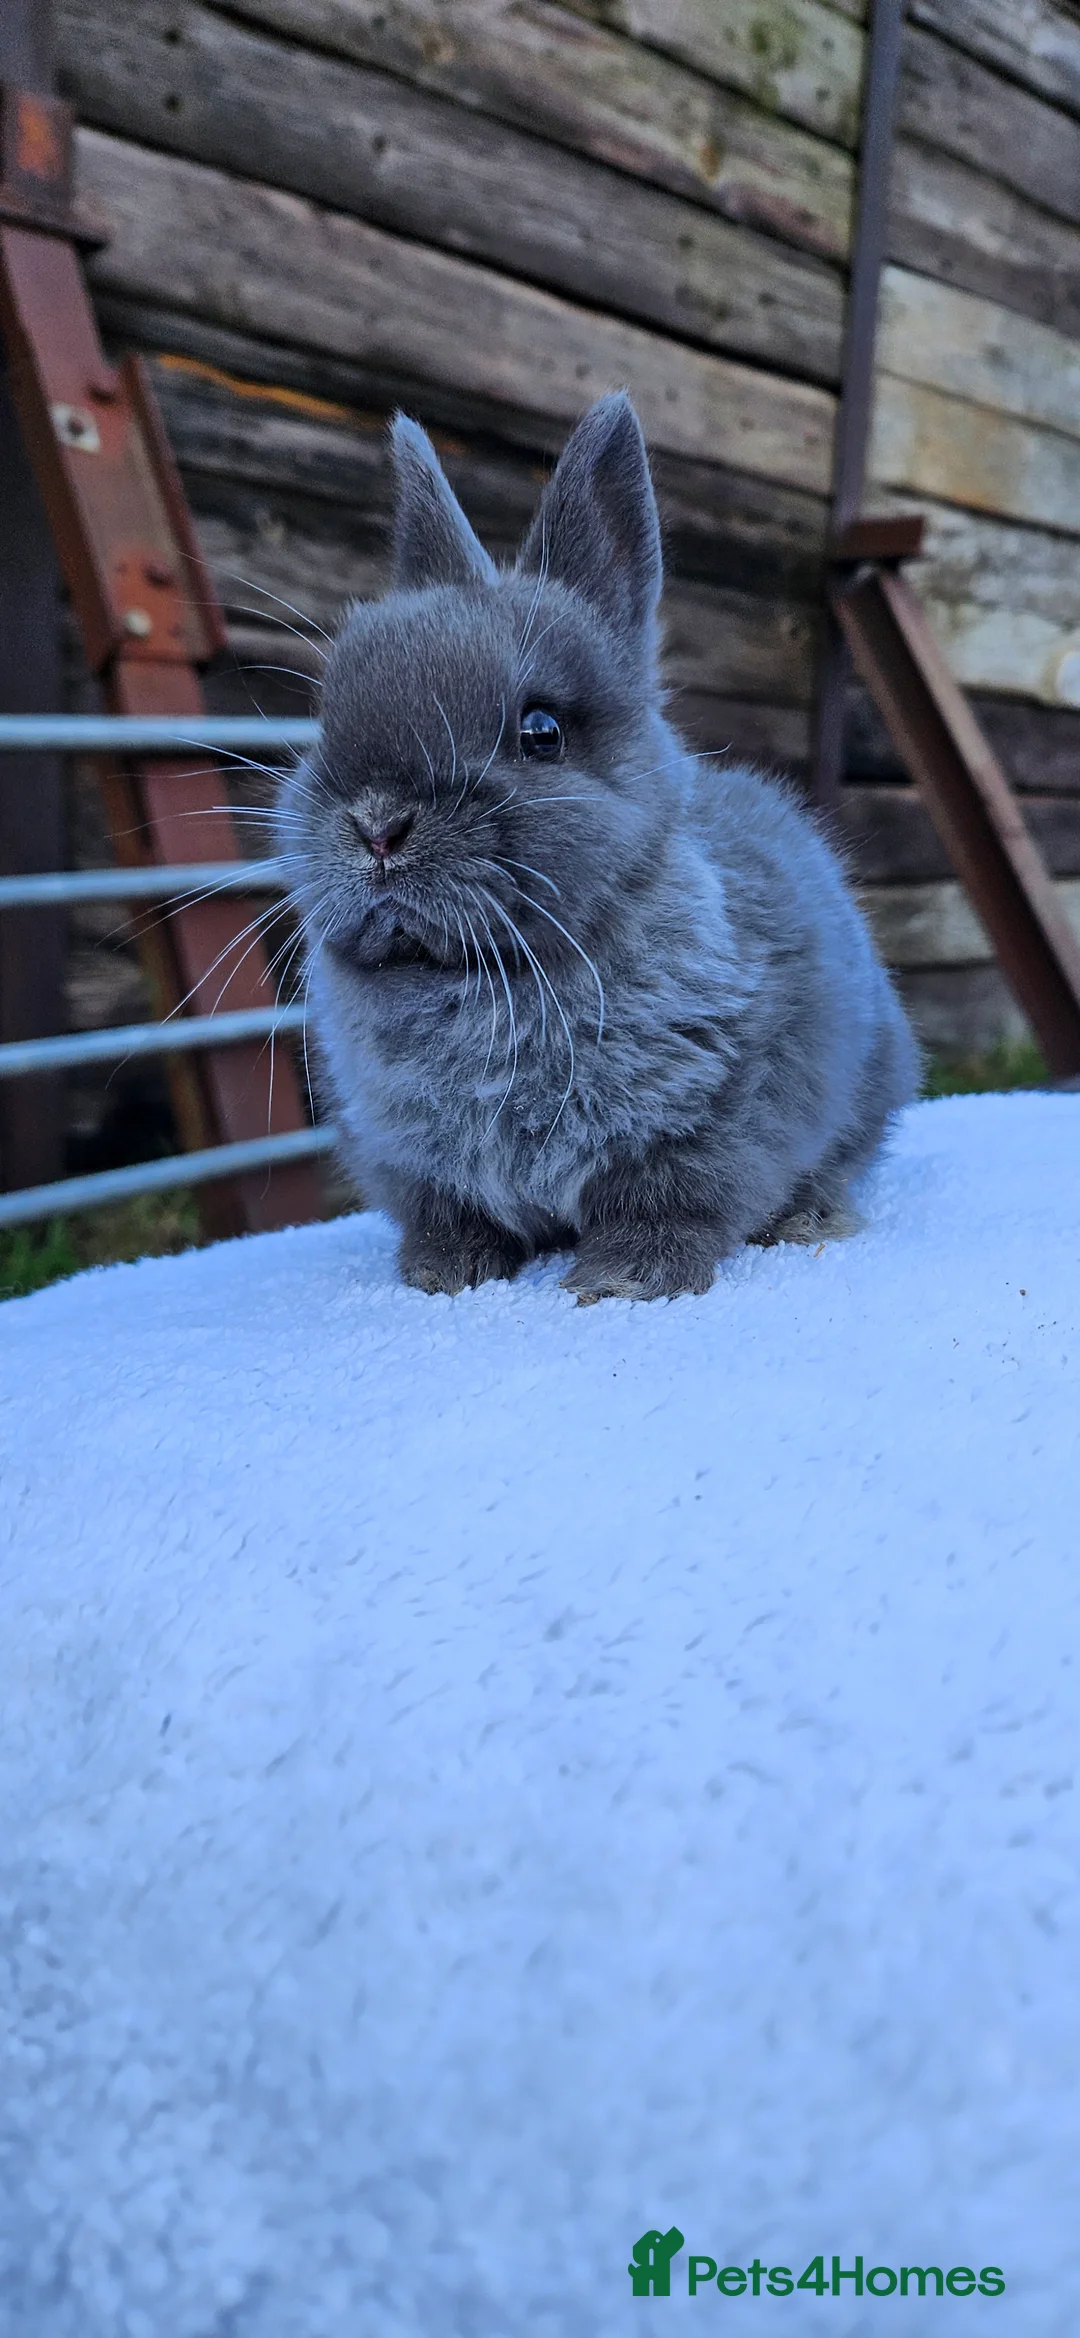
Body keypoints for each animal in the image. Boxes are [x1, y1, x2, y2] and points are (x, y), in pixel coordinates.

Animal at [278, 393, 919, 1301]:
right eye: (325, 718)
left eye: (541, 732)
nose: (376, 825)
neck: (489, 979)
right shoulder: (411, 1162)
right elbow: (452, 1216)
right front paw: (443, 1276)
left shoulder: (712, 1123)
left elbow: (667, 1203)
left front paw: (620, 1282)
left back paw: (809, 1221)